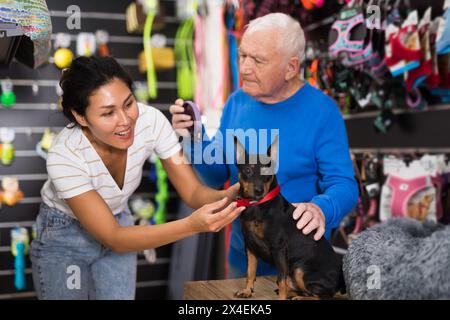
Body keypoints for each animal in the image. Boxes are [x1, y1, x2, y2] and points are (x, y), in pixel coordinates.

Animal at [234, 138, 342, 300]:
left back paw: (299, 297)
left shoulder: (279, 249)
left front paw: (281, 298)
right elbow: (250, 271)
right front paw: (247, 290)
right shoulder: (250, 246)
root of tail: (340, 283)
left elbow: (281, 279)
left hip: (300, 270)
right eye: (248, 170)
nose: (259, 191)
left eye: (268, 171)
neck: (257, 205)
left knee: (321, 296)